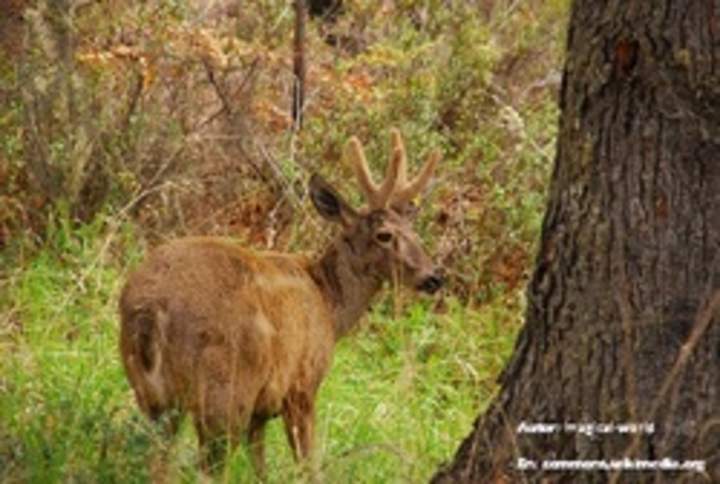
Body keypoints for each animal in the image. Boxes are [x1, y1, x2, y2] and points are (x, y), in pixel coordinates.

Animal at [119, 129, 444, 480]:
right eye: (384, 235)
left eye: (413, 231)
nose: (433, 277)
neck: (328, 304)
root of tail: (150, 310)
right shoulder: (301, 386)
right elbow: (308, 466)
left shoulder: (260, 412)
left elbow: (260, 468)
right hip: (224, 392)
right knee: (209, 468)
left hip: (151, 394)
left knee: (158, 461)